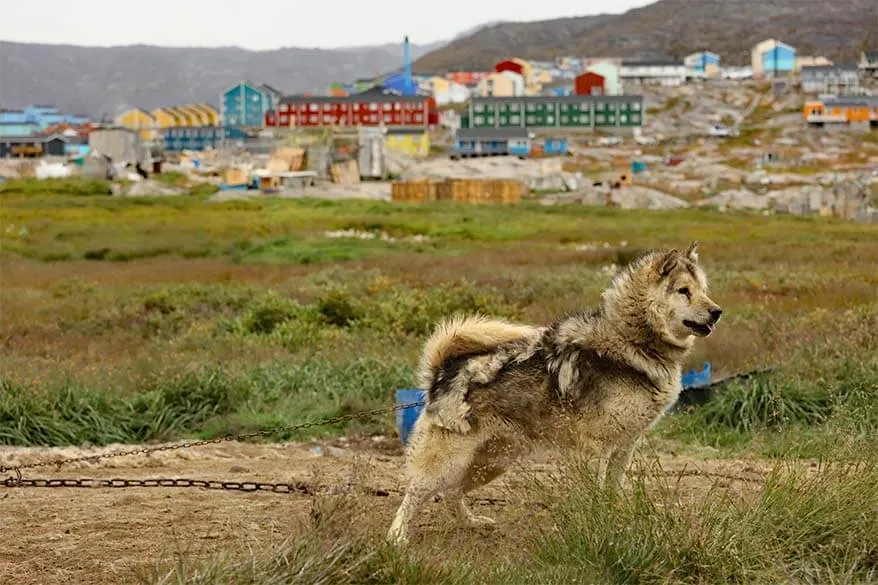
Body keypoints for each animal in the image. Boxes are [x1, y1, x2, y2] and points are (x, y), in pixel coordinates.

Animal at [390, 242, 720, 544]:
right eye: (684, 291)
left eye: (703, 290)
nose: (717, 312)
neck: (631, 342)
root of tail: (441, 372)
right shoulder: (596, 449)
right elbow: (596, 495)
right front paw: (599, 528)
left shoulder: (623, 448)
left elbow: (612, 493)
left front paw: (614, 523)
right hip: (448, 462)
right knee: (416, 494)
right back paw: (397, 537)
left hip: (495, 460)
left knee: (452, 493)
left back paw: (471, 523)